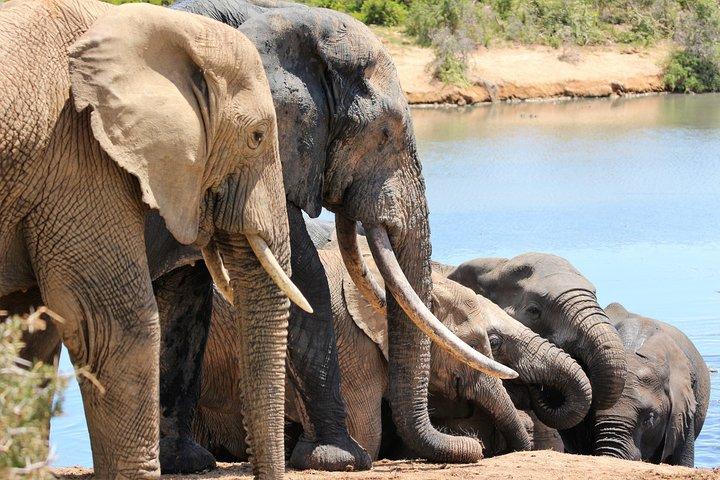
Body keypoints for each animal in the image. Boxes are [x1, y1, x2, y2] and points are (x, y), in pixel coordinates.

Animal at [147, 0, 516, 474]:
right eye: (384, 133)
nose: (473, 443)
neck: (269, 14)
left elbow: (189, 298)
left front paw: (186, 464)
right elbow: (302, 277)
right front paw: (341, 458)